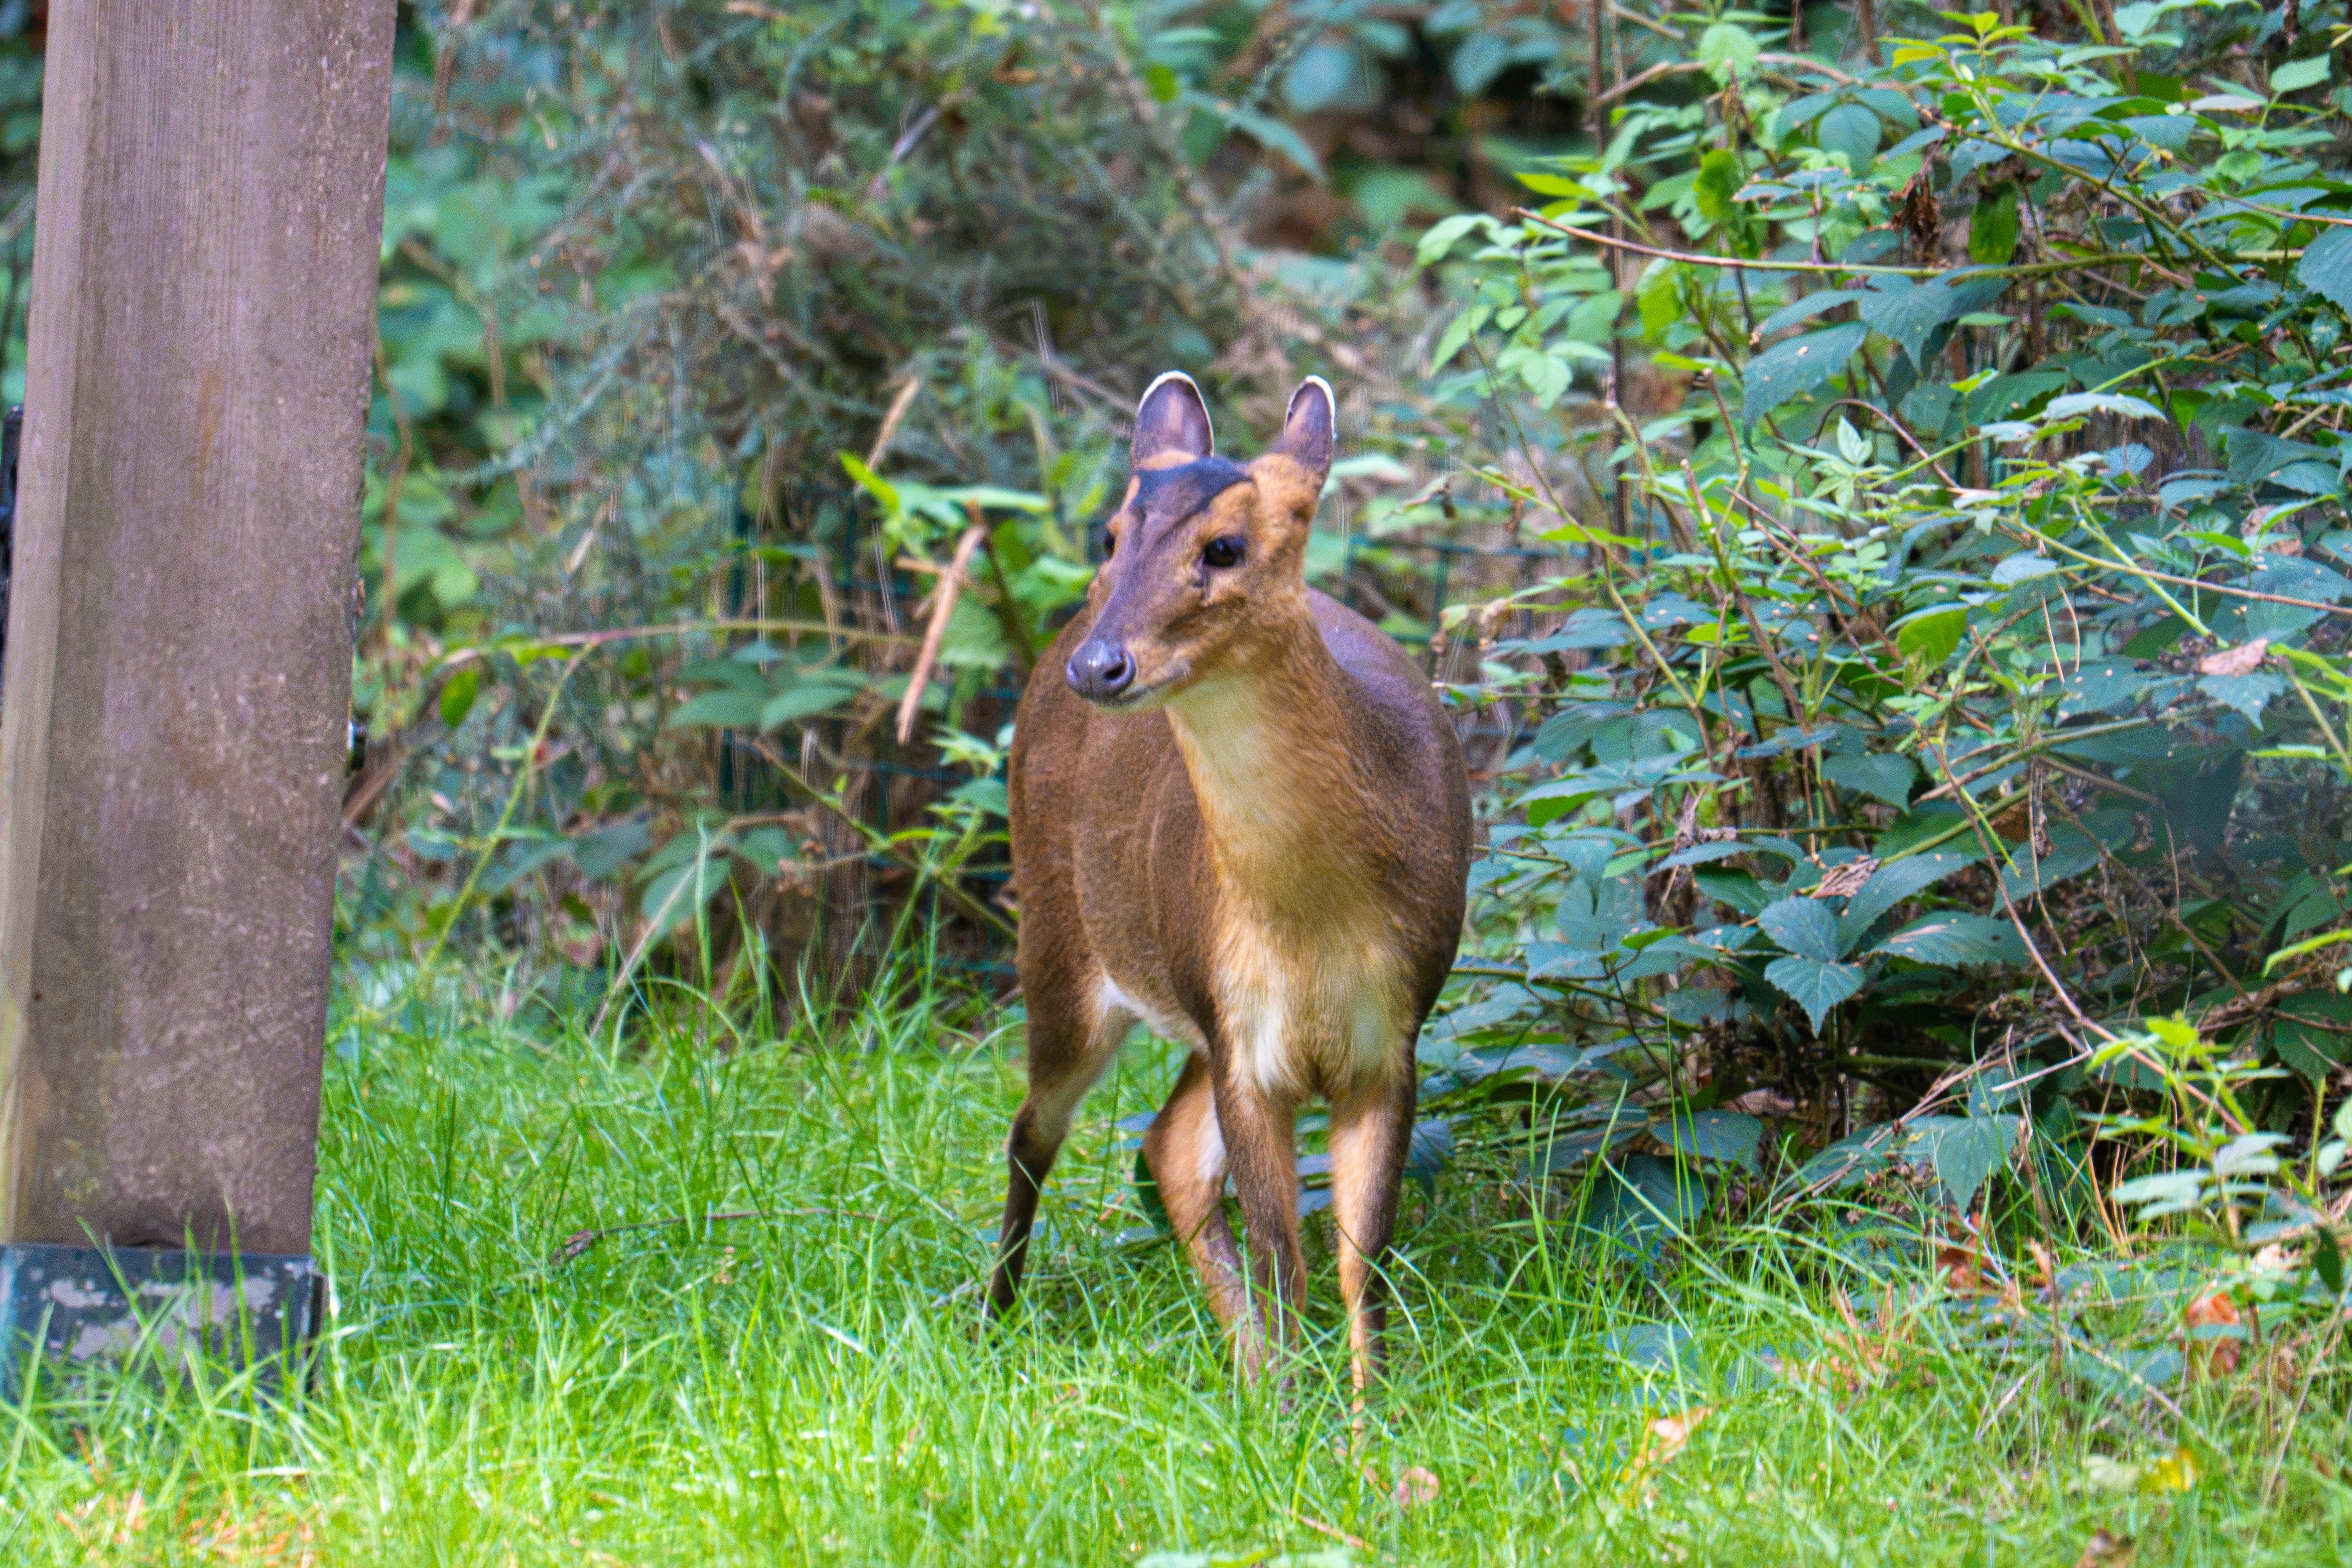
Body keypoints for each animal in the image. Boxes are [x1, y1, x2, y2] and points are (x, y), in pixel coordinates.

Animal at [986, 371, 1472, 1392]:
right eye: (1111, 536)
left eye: (1224, 547)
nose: (1103, 662)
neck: (1313, 919)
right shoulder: (1240, 1035)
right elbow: (1285, 1257)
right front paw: (1294, 1412)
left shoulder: (1392, 1032)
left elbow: (1360, 1258)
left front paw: (1369, 1418)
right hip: (1061, 939)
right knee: (1034, 1128)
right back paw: (991, 1320)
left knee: (1163, 1147)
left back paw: (1238, 1370)